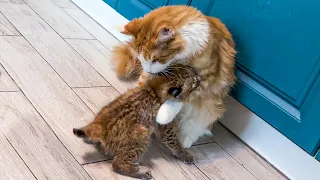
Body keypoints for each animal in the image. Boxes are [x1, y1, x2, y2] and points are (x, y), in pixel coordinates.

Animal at [112, 5, 235, 149]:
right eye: (141, 59)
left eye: (155, 60)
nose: (148, 69)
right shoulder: (151, 76)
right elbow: (143, 89)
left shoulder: (205, 80)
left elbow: (183, 97)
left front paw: (163, 115)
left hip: (208, 109)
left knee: (196, 126)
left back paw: (186, 140)